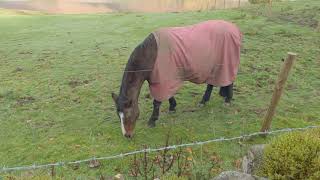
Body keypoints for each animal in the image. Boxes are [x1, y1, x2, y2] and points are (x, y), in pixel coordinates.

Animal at [111, 20, 241, 138]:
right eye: (118, 115)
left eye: (128, 115)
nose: (127, 135)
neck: (151, 54)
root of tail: (234, 28)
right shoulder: (166, 79)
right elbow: (169, 95)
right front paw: (172, 107)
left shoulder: (162, 80)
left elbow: (157, 102)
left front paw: (152, 121)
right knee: (212, 84)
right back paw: (204, 101)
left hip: (225, 63)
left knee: (228, 81)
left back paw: (228, 100)